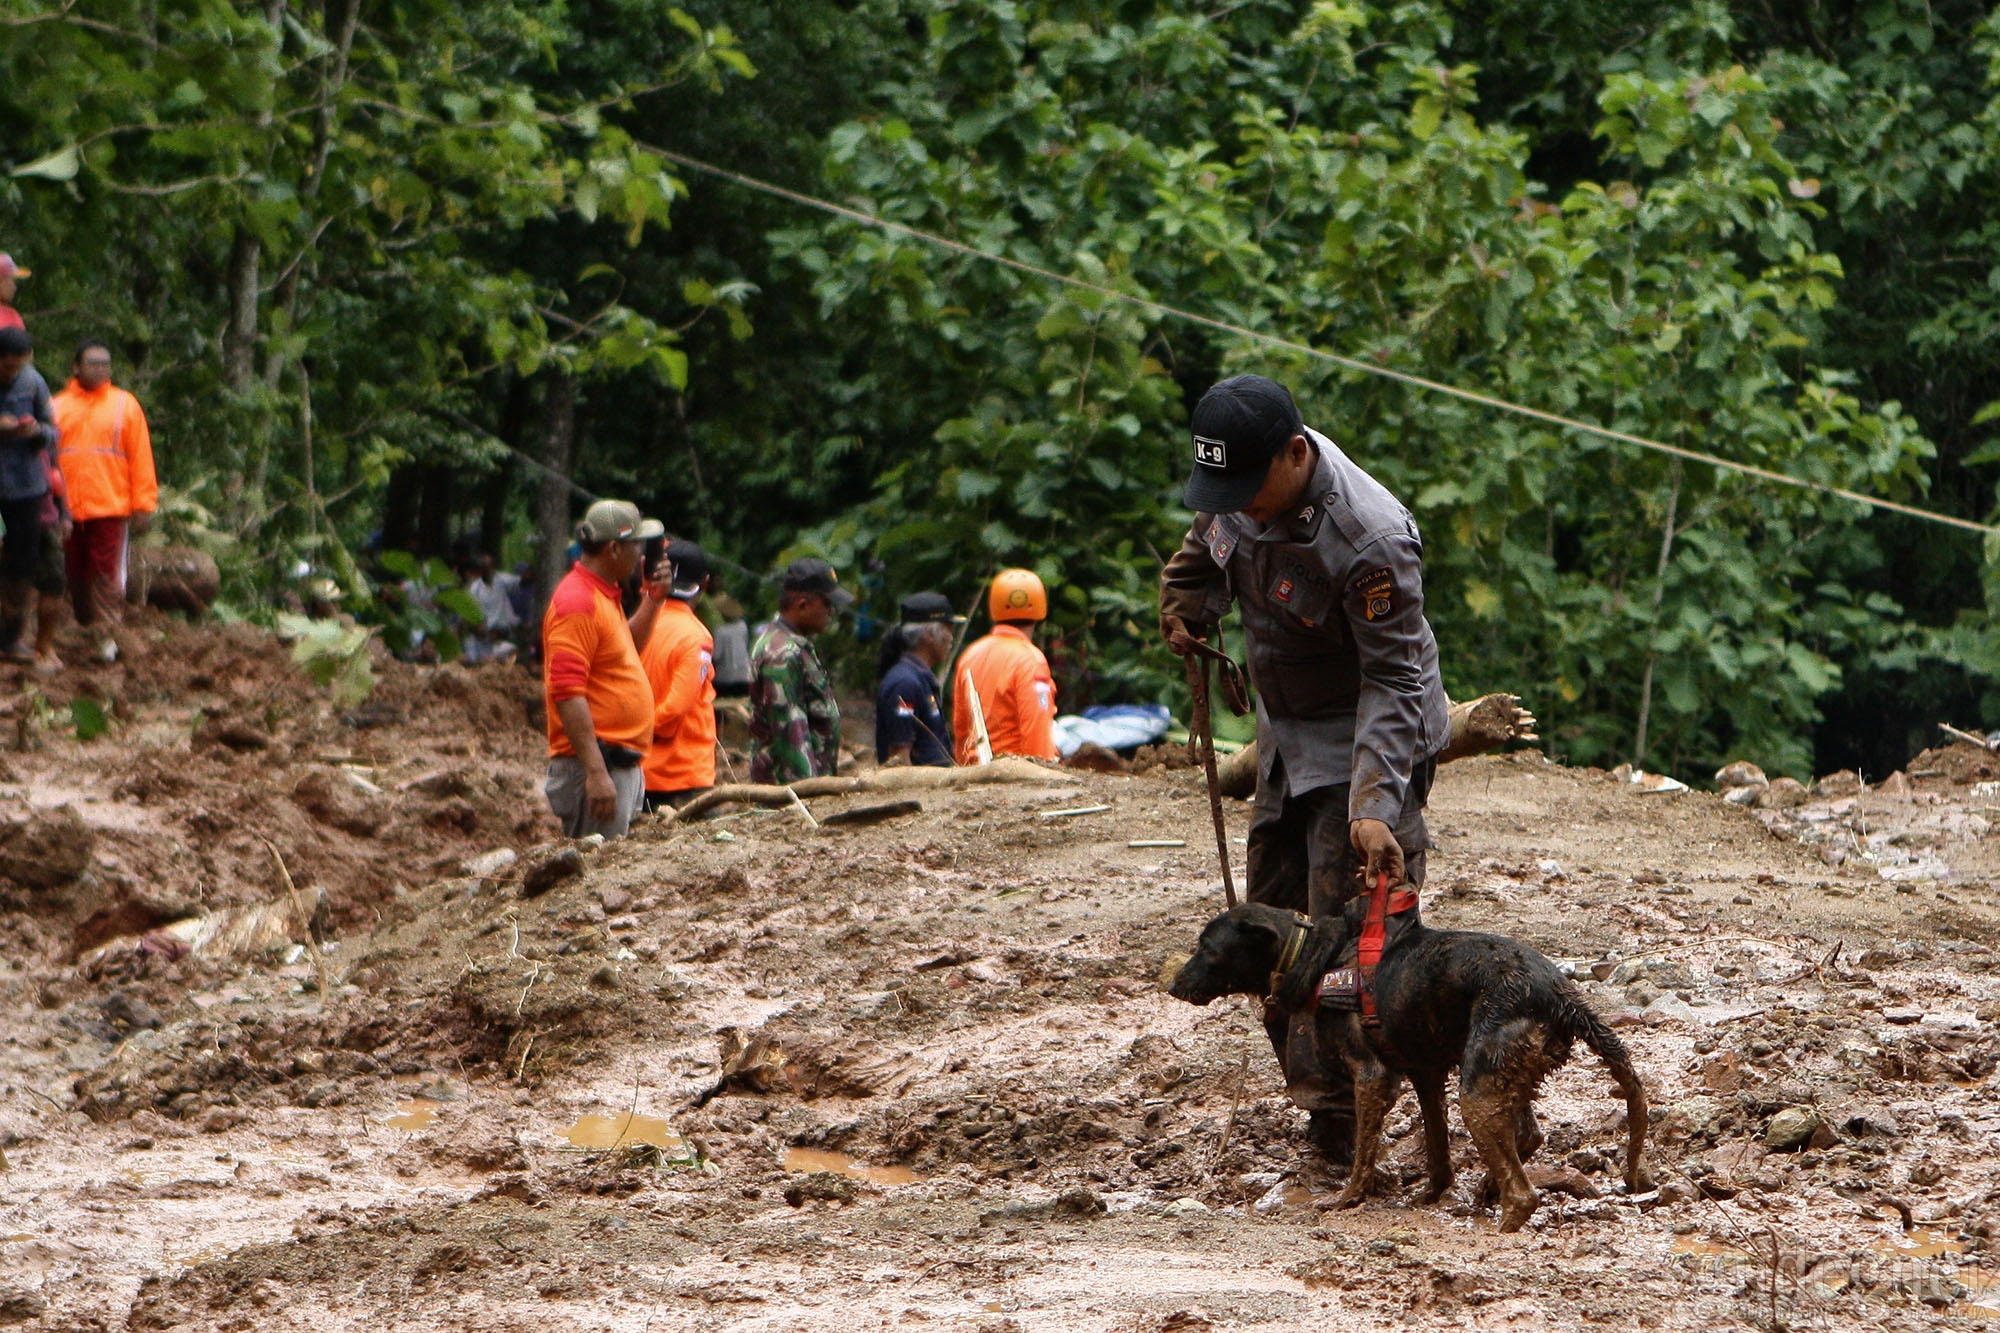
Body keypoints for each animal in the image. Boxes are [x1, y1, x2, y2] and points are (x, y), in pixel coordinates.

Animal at [1168, 896, 1648, 1232]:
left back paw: (1503, 1219)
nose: (1172, 986)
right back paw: (1487, 1188)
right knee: (1528, 1137)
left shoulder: (1372, 1076)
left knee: (1523, 1193)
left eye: (1207, 948)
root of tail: (1560, 995)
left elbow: (1364, 1154)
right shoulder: (1426, 1073)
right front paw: (1432, 1192)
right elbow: (1437, 1148)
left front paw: (1348, 1198)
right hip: (1500, 1073)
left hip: (1477, 1092)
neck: (1314, 953)